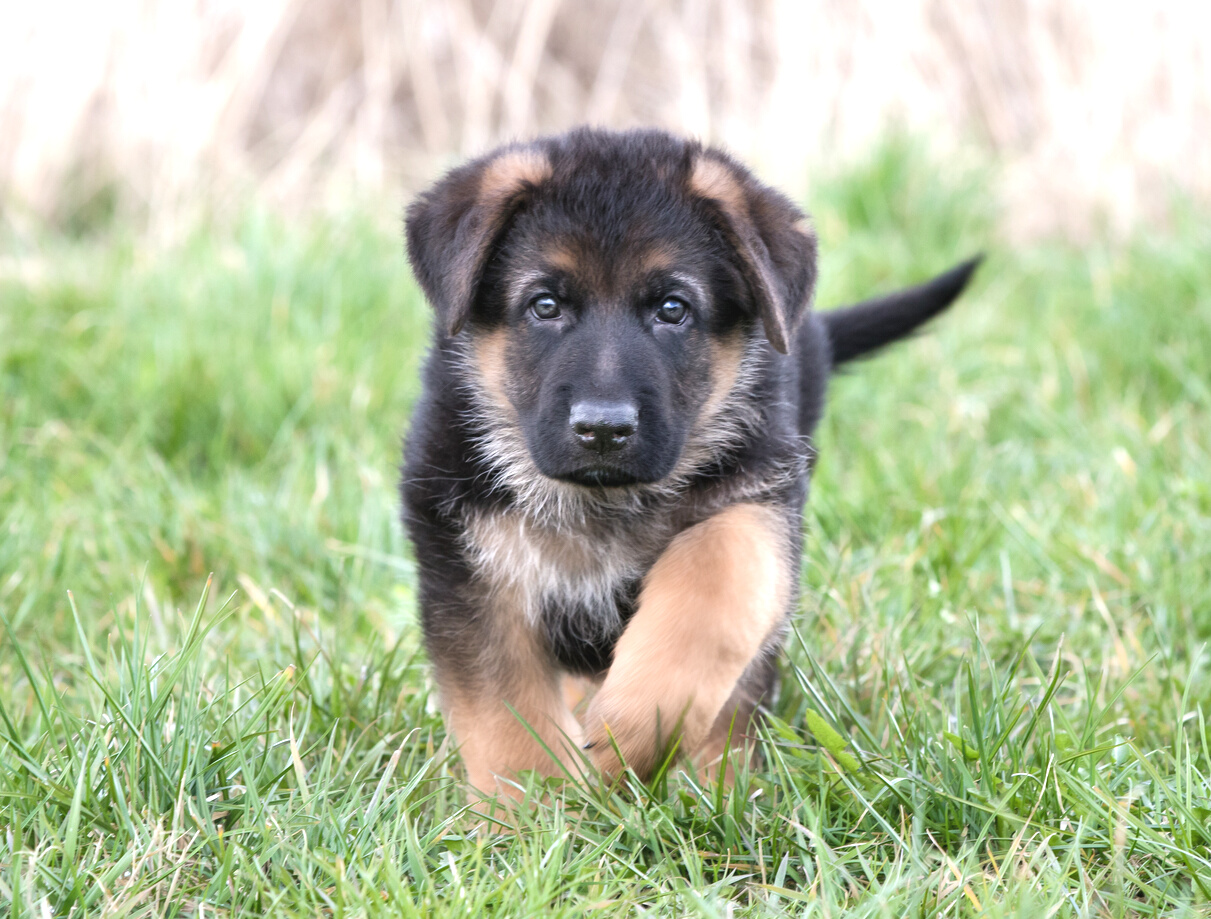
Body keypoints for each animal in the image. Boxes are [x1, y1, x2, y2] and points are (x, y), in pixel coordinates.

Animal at [402, 127, 978, 799]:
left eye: (672, 309)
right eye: (545, 305)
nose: (604, 429)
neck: (601, 502)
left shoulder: (759, 497)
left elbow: (717, 584)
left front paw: (632, 730)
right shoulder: (469, 564)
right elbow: (504, 715)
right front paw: (535, 811)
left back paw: (719, 784)